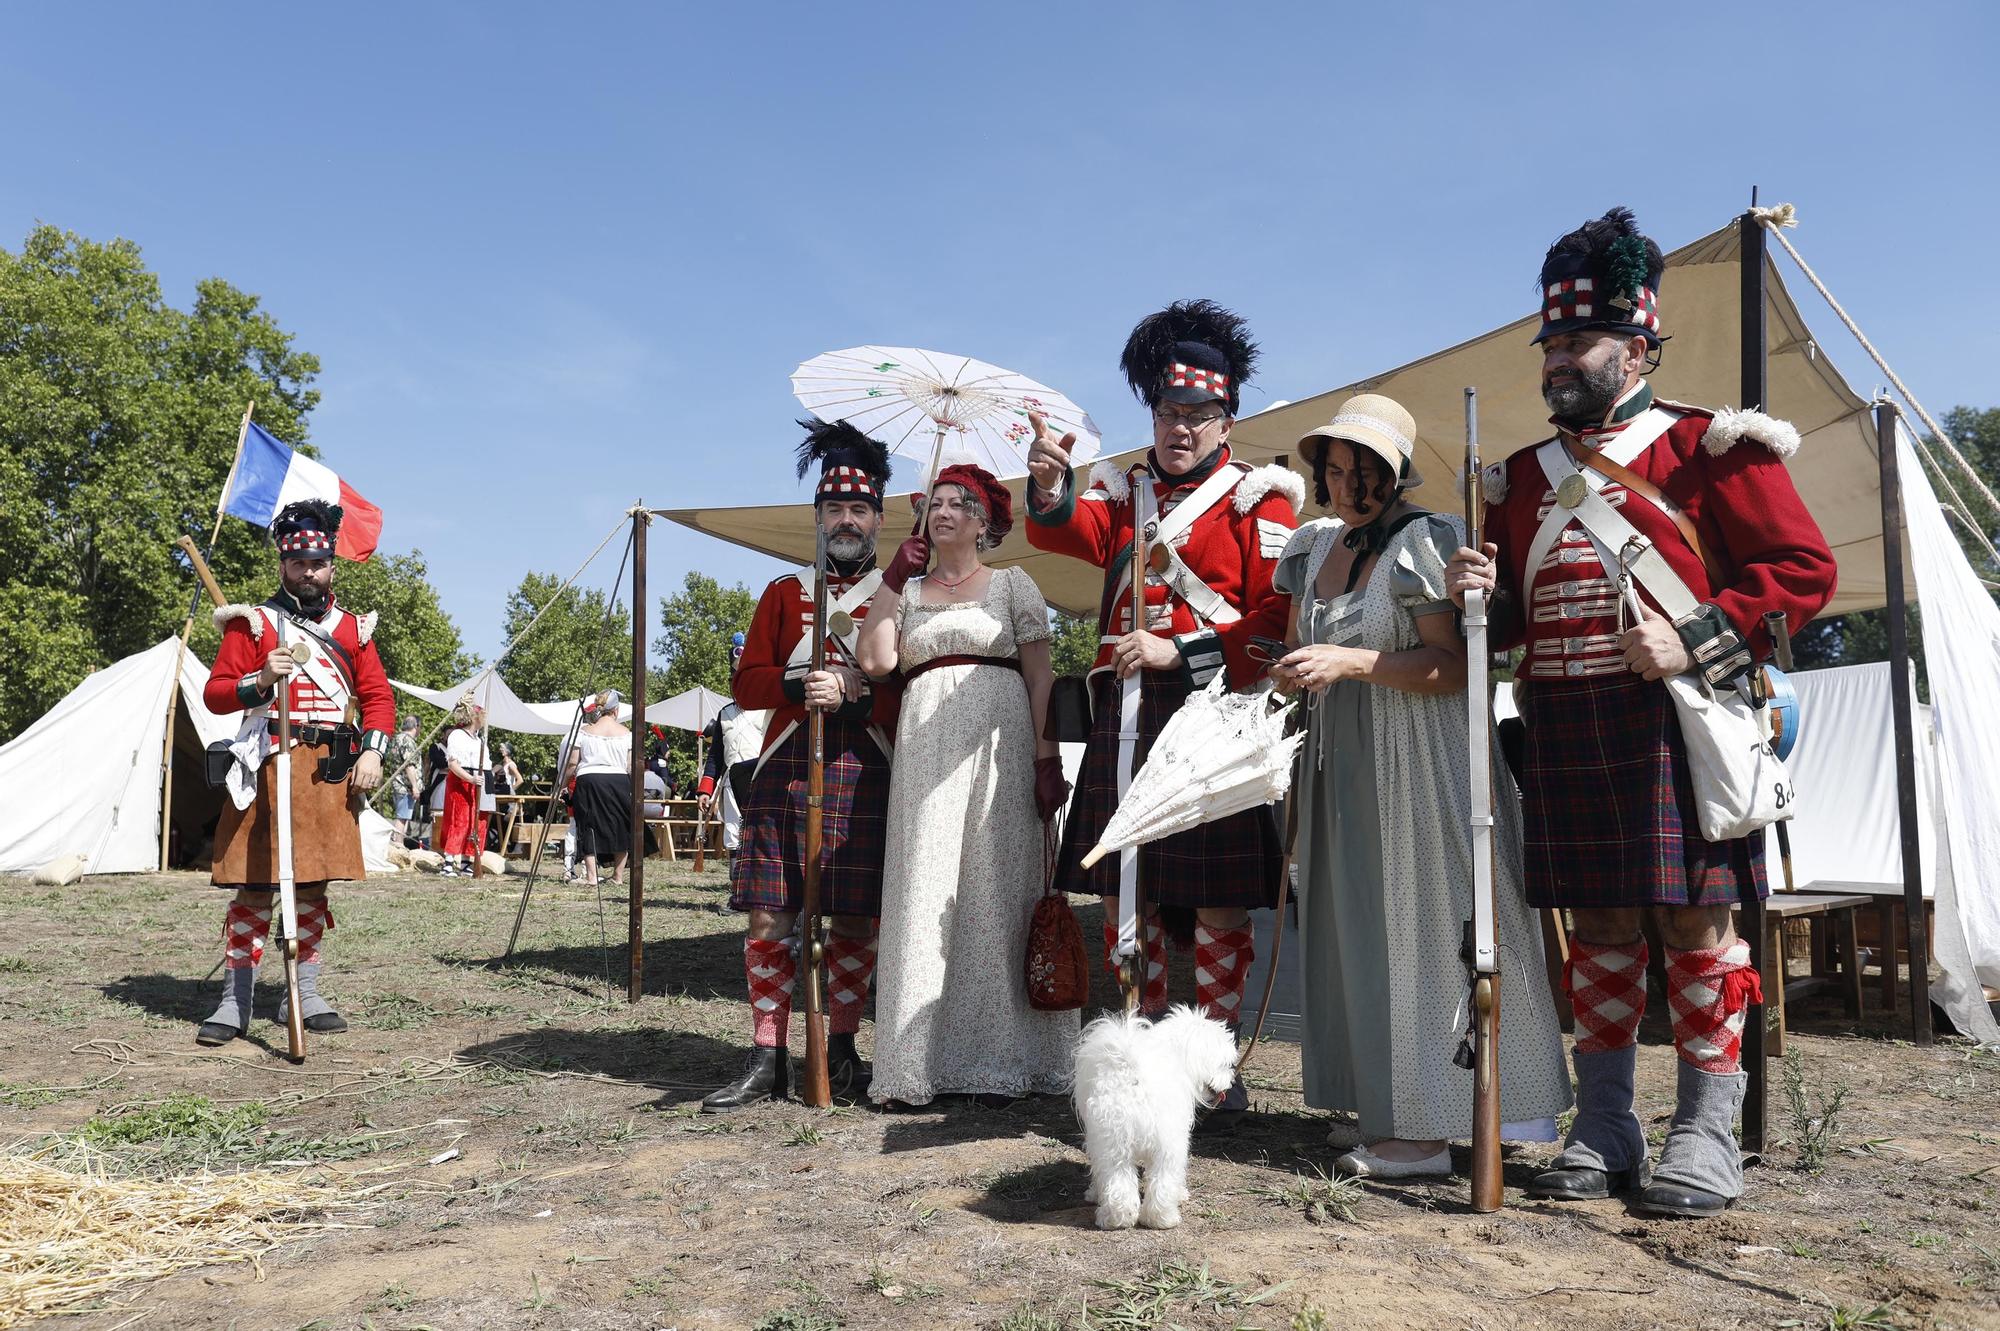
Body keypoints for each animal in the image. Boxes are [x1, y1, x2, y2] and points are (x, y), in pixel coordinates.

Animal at [1072, 1007, 1240, 1223]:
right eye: (1224, 1064)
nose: (1232, 1081)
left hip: (1114, 1147)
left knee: (1118, 1179)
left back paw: (1120, 1218)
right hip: (1166, 1146)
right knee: (1163, 1180)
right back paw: (1161, 1218)